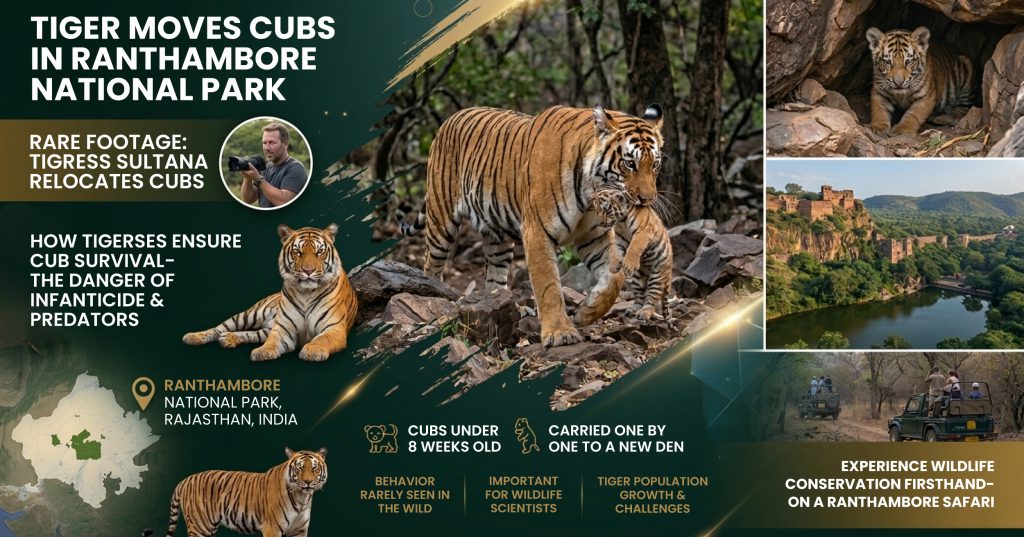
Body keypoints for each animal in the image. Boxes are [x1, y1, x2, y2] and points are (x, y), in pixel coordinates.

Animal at [159, 447, 327, 537]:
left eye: (314, 467)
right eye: (299, 468)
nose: (307, 482)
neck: (302, 498)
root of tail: (185, 480)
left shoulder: (299, 530)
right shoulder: (272, 528)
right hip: (200, 526)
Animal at [182, 224, 358, 362]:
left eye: (320, 252)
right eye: (297, 252)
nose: (308, 271)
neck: (306, 293)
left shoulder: (334, 328)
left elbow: (322, 339)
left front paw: (312, 351)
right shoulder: (282, 329)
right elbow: (272, 342)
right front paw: (263, 351)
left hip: (264, 329)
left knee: (251, 334)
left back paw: (228, 339)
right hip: (250, 315)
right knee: (218, 328)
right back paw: (193, 337)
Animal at [397, 104, 664, 346]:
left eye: (655, 164)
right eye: (629, 164)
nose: (648, 199)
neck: (590, 192)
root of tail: (451, 117)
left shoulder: (594, 235)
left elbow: (614, 279)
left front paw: (587, 312)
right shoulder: (537, 231)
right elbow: (548, 285)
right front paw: (560, 333)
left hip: (498, 237)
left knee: (494, 280)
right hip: (441, 219)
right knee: (431, 266)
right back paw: (435, 303)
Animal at [589, 185, 673, 320]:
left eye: (606, 210)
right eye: (596, 210)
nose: (600, 223)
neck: (622, 221)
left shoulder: (643, 231)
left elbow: (634, 247)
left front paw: (628, 265)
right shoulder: (618, 238)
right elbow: (614, 250)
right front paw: (614, 266)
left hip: (658, 274)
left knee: (652, 297)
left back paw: (645, 312)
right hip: (638, 278)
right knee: (639, 296)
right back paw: (633, 310)